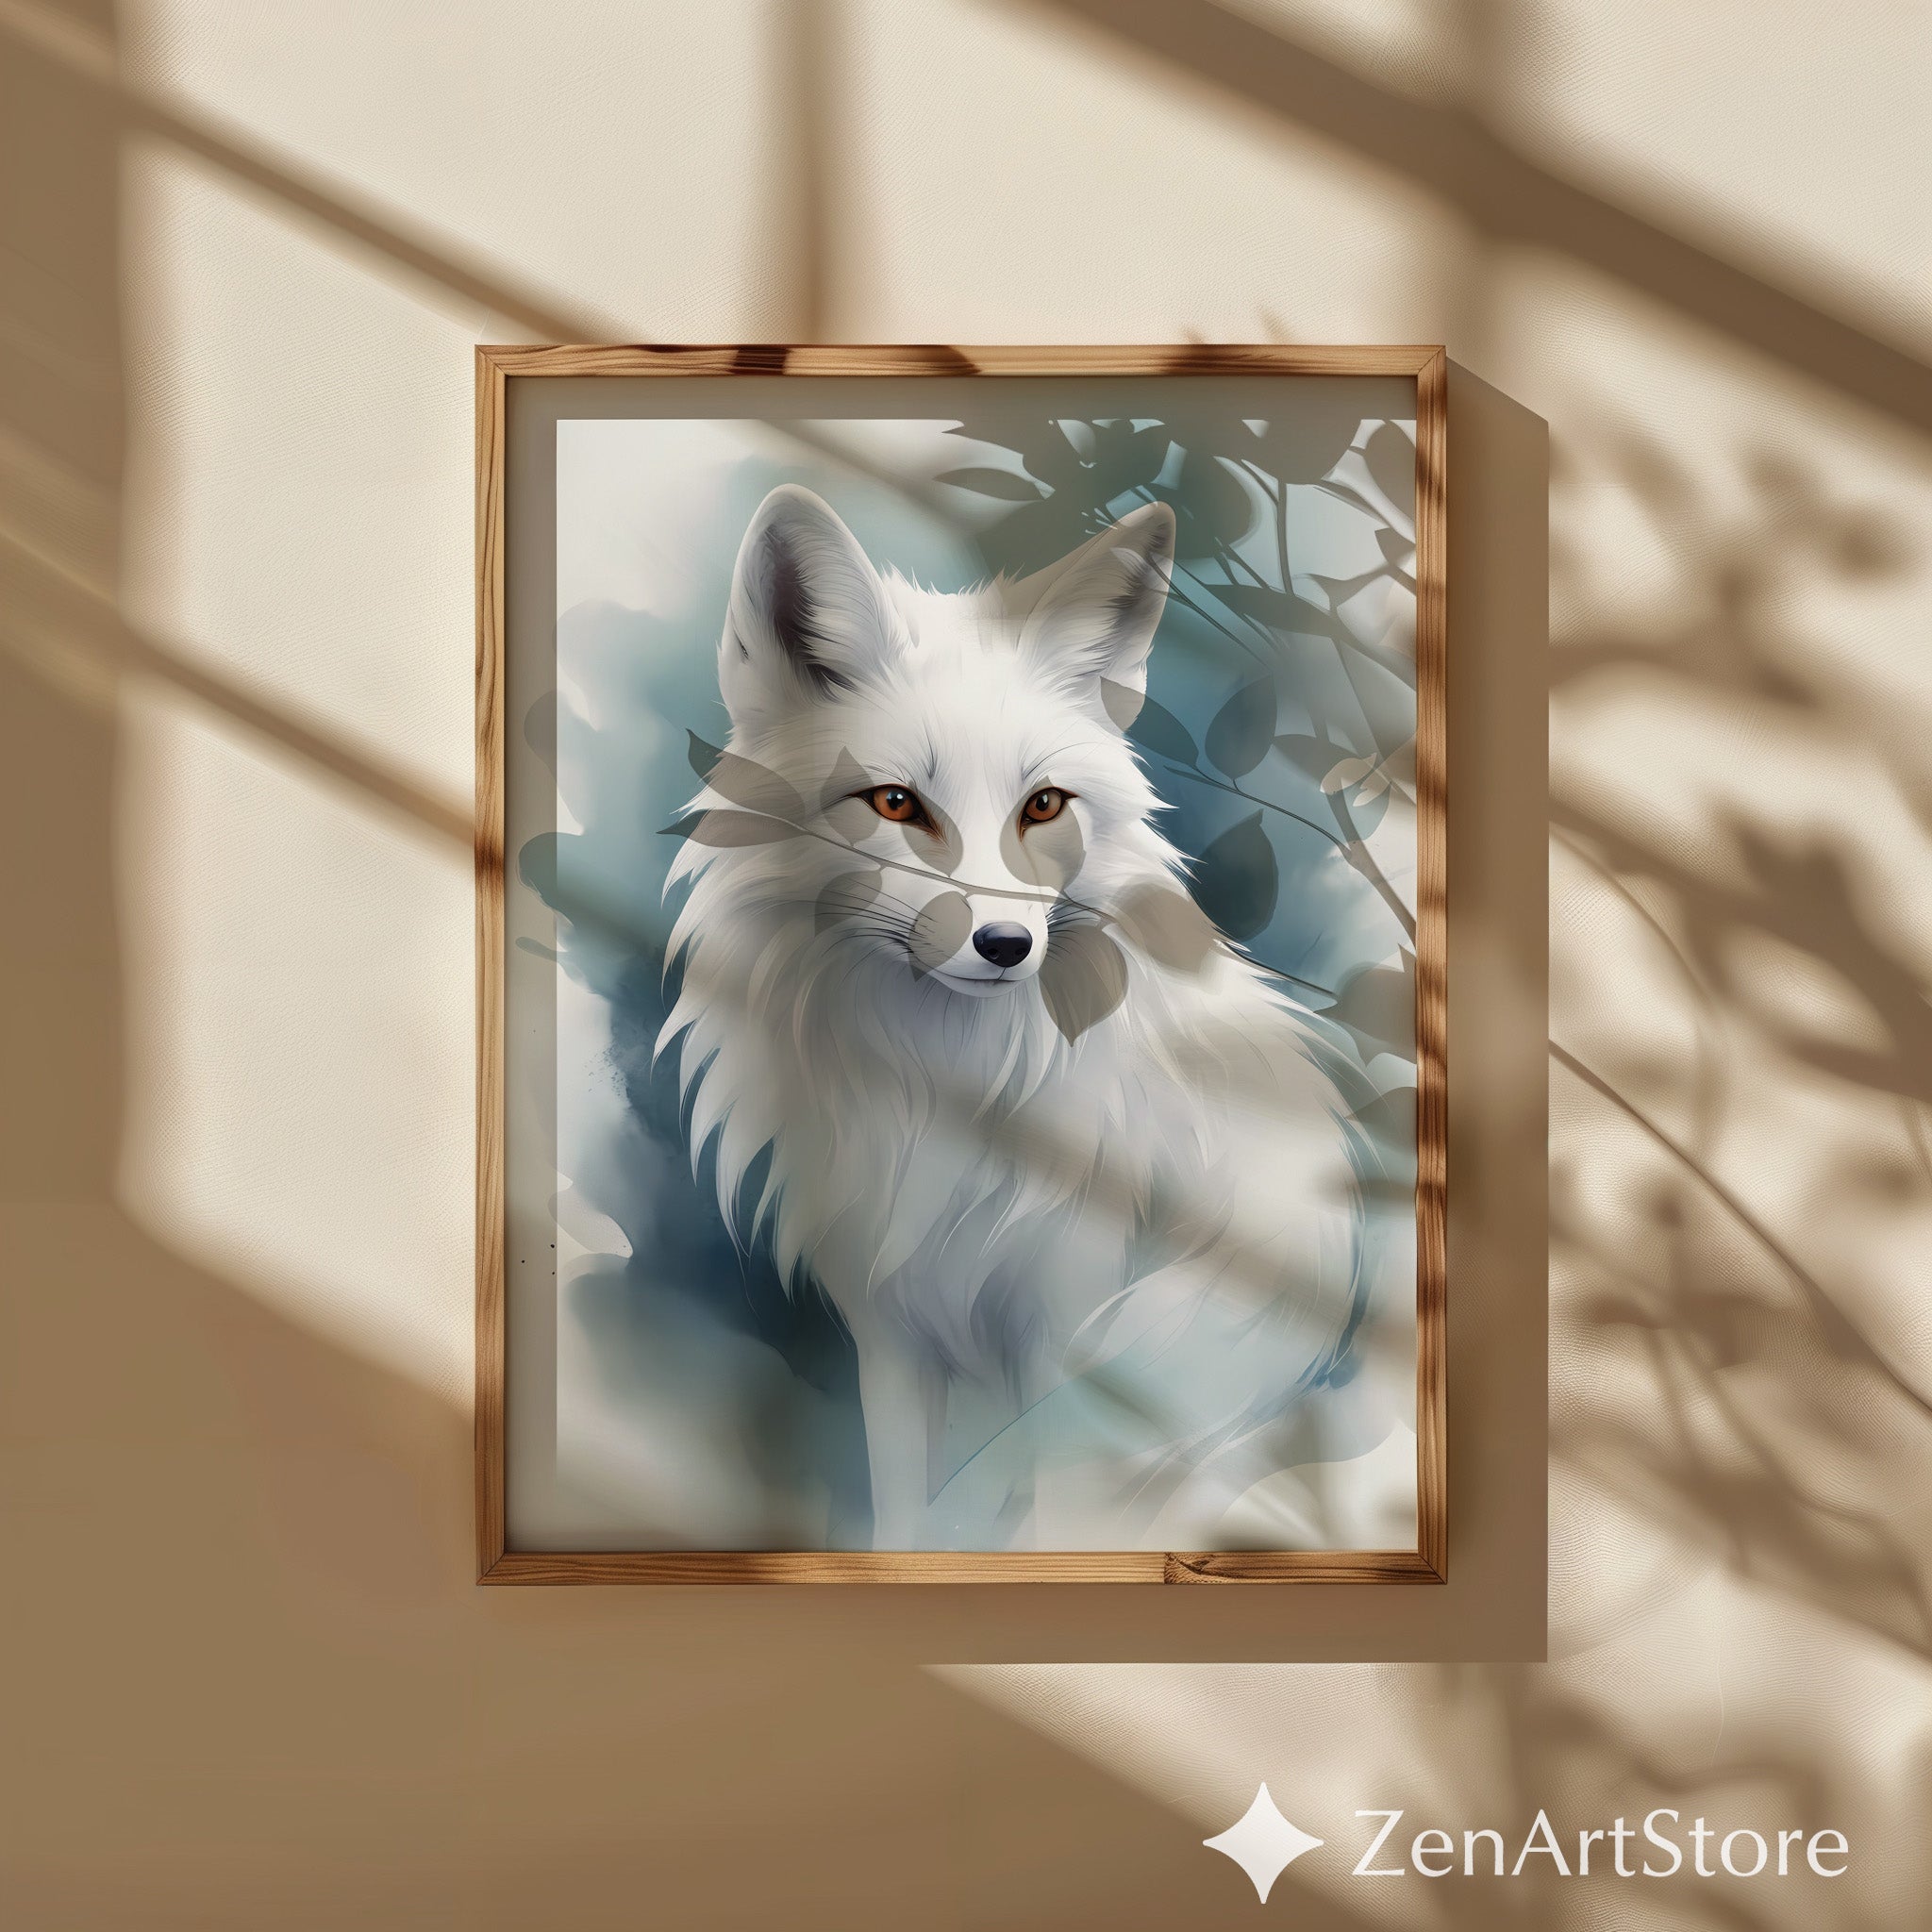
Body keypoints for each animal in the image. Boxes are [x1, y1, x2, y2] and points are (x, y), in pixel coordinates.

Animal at [659, 484, 1367, 1551]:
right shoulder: (891, 1326)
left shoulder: (1069, 1323)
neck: (950, 1089)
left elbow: (1052, 1507)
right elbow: (905, 1512)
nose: (1003, 945)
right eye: (895, 802)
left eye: (1042, 806)